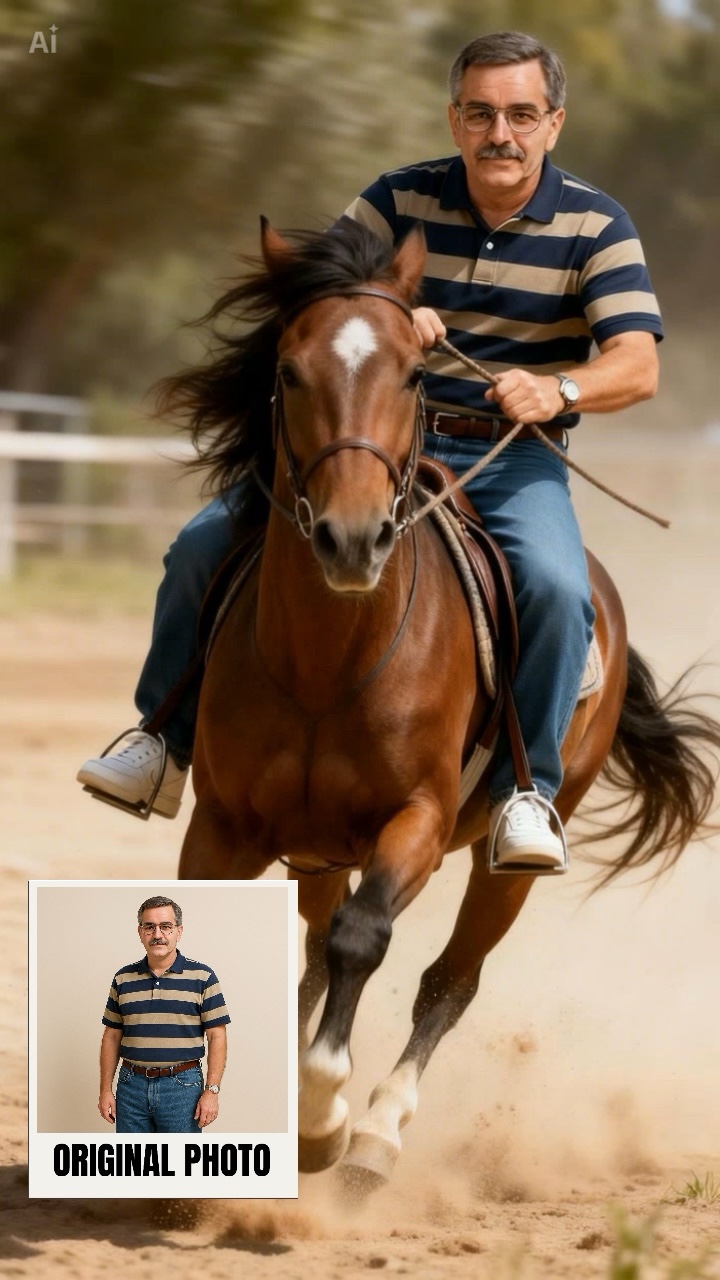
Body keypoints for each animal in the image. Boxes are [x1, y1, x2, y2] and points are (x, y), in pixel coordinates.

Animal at [165, 216, 720, 1192]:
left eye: (414, 374)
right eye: (288, 370)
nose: (352, 539)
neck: (327, 661)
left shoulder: (415, 822)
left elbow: (363, 939)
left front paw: (322, 1122)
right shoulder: (225, 825)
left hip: (506, 865)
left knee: (447, 980)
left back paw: (377, 1138)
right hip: (314, 848)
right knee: (317, 954)